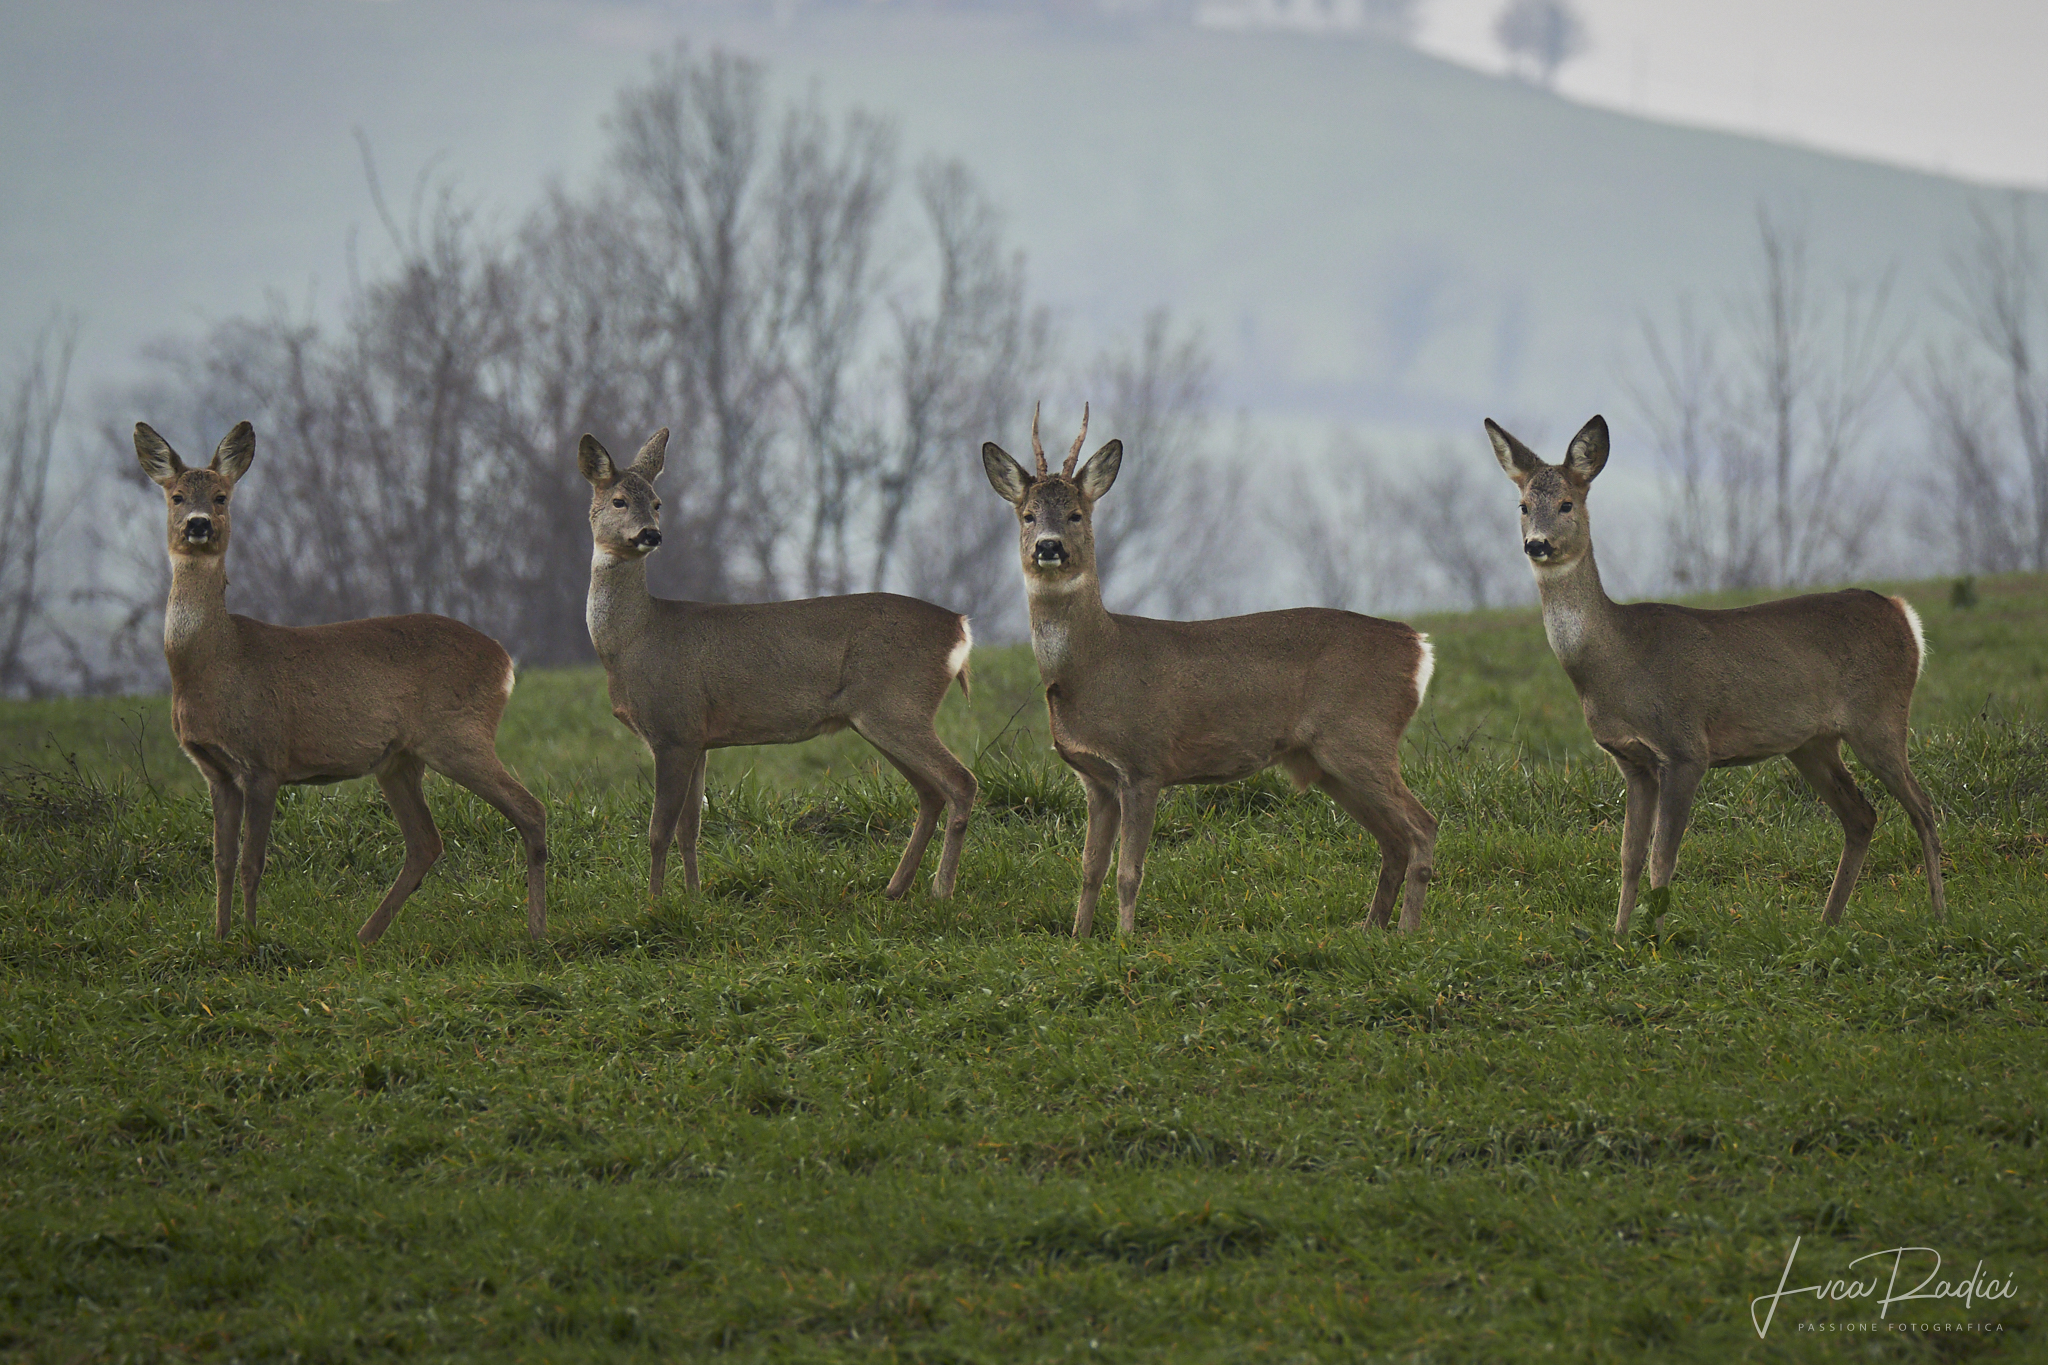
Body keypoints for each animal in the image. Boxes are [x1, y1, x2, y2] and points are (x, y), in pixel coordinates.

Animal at [134, 421, 548, 945]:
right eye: (177, 495)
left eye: (222, 496)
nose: (198, 524)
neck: (214, 662)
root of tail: (504, 660)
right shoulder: (216, 771)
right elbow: (222, 861)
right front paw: (220, 938)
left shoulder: (265, 758)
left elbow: (252, 862)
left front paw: (251, 940)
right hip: (399, 760)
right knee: (425, 842)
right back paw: (365, 936)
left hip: (458, 733)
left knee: (529, 810)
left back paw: (537, 931)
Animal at [578, 429, 977, 901]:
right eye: (619, 500)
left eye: (657, 502)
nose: (650, 534)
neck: (632, 640)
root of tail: (959, 627)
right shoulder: (697, 736)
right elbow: (689, 829)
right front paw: (693, 897)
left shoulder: (672, 728)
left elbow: (659, 831)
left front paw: (655, 903)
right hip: (880, 715)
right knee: (931, 792)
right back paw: (896, 888)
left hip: (897, 704)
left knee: (960, 782)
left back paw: (941, 891)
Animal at [982, 405, 1438, 936]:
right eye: (1028, 515)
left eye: (1076, 514)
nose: (1049, 547)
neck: (1094, 665)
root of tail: (1416, 646)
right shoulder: (1095, 779)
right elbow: (1090, 867)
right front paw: (1079, 938)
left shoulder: (1144, 763)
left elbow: (1129, 871)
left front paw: (1124, 939)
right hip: (1327, 761)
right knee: (1393, 839)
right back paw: (1371, 930)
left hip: (1360, 736)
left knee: (1422, 826)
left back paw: (1406, 932)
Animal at [1485, 414, 1945, 935]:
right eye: (1523, 506)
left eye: (1567, 503)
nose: (1537, 544)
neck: (1616, 660)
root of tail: (1903, 614)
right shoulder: (1631, 761)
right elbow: (1628, 857)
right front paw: (1618, 936)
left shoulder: (1686, 747)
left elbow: (1662, 859)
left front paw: (1655, 937)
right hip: (1812, 743)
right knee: (1863, 814)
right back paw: (1826, 923)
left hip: (1880, 719)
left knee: (1924, 808)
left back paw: (1939, 914)